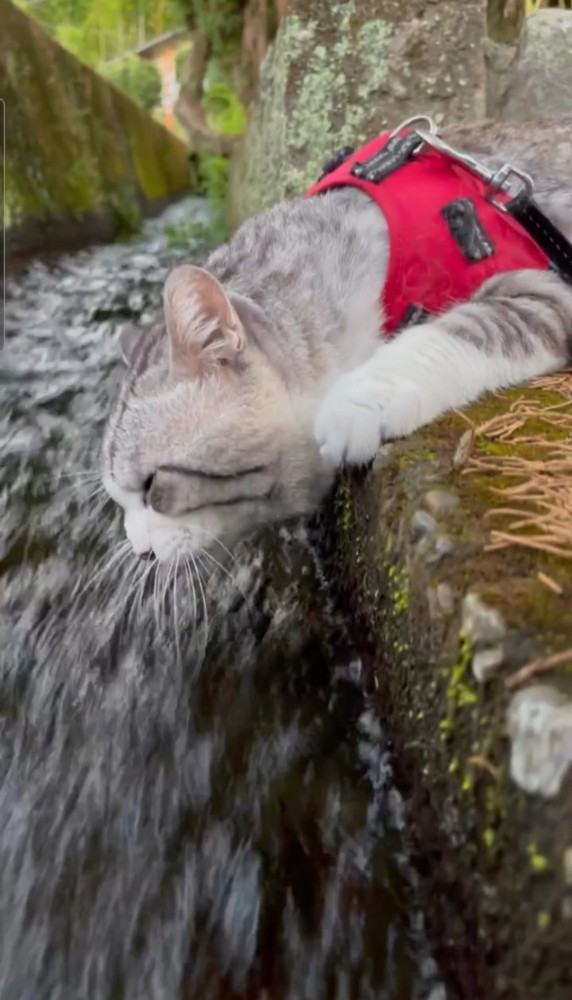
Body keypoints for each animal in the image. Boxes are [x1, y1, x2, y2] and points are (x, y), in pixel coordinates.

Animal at [103, 117, 572, 564]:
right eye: (119, 502)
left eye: (152, 486)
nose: (141, 552)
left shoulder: (543, 291)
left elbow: (455, 332)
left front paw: (358, 400)